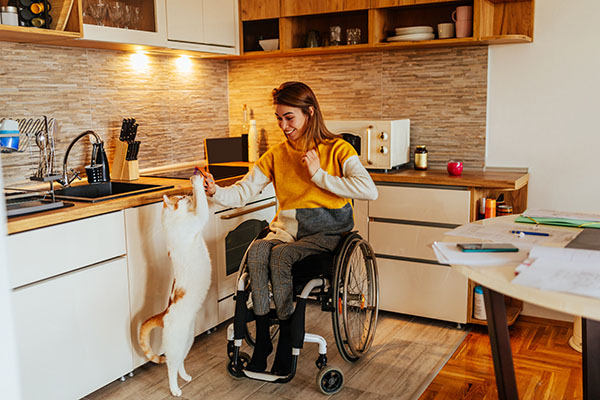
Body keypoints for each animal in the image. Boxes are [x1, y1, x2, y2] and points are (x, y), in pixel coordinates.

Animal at [138, 175, 213, 396]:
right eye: (179, 197)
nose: (186, 195)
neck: (172, 222)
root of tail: (164, 314)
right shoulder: (198, 218)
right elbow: (202, 206)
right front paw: (197, 182)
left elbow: (199, 203)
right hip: (175, 344)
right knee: (170, 367)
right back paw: (175, 389)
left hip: (187, 341)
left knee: (179, 362)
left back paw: (185, 377)